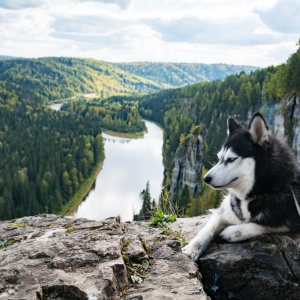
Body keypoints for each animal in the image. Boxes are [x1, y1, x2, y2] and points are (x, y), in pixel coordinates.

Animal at [182, 111, 300, 262]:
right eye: (219, 158)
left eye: (231, 159)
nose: (206, 179)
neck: (254, 194)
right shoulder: (225, 210)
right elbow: (207, 228)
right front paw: (192, 247)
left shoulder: (290, 220)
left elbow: (264, 226)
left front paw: (234, 231)